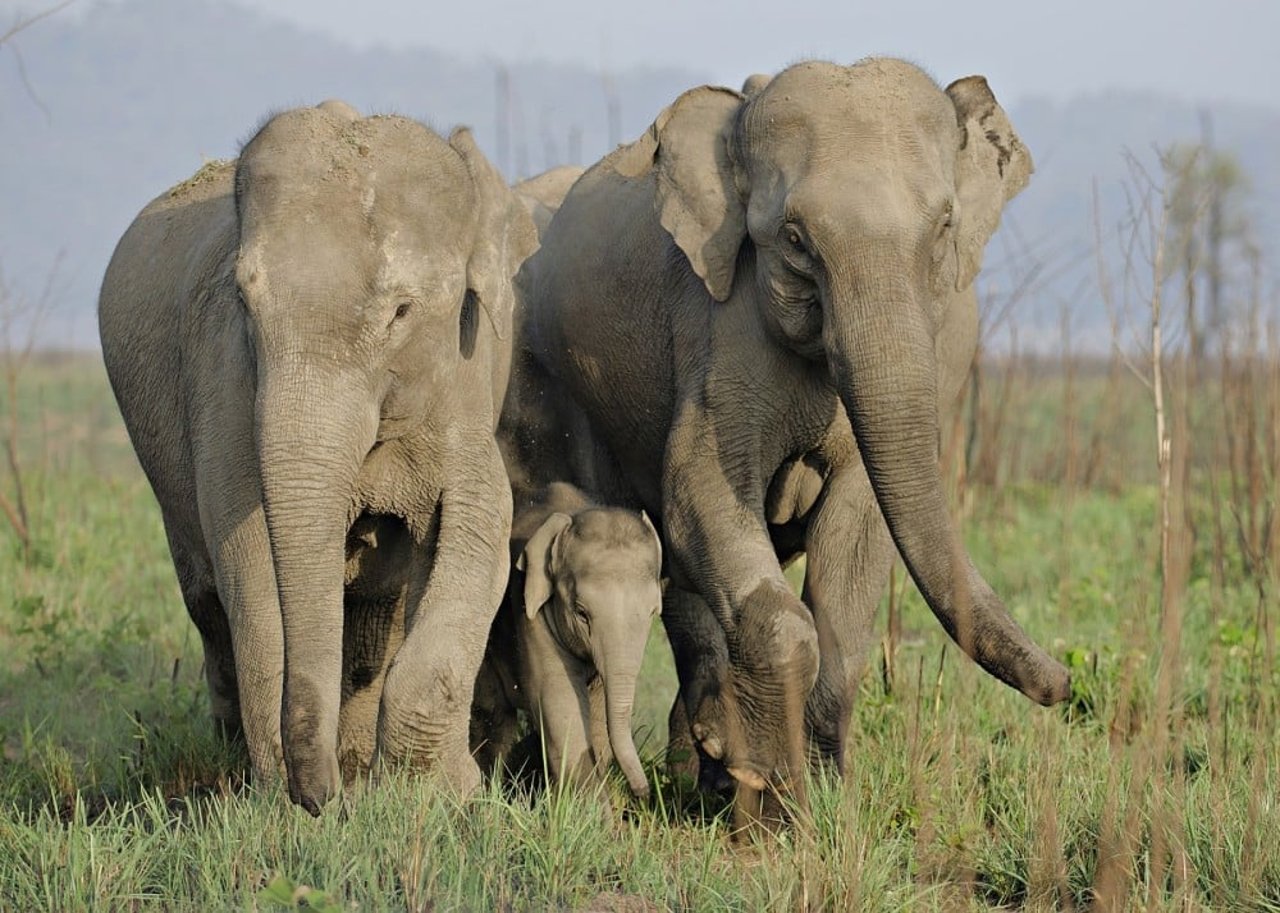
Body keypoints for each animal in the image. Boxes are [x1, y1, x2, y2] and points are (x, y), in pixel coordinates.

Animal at [99, 101, 537, 814]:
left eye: (401, 312)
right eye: (245, 300)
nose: (323, 798)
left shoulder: (467, 383)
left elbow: (479, 531)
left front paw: (444, 795)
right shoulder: (226, 379)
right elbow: (248, 562)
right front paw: (284, 799)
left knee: (377, 609)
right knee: (209, 603)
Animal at [476, 484, 665, 799]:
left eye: (653, 612)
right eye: (581, 613)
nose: (644, 792)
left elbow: (597, 718)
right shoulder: (529, 612)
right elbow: (561, 706)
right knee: (493, 717)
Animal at [499, 60, 1070, 824]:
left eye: (945, 227)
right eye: (795, 239)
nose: (1066, 682)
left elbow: (856, 542)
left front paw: (825, 793)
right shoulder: (719, 325)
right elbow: (701, 495)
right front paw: (776, 806)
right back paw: (710, 763)